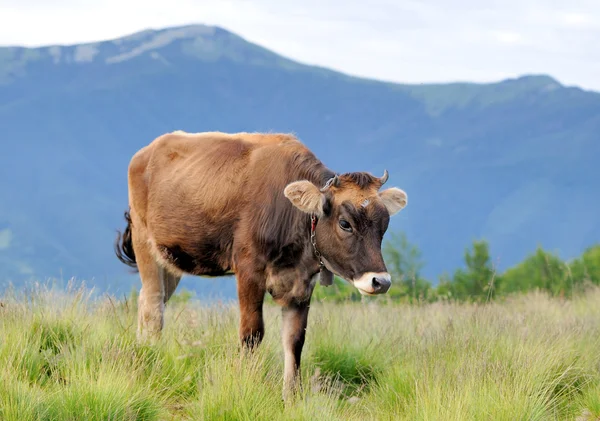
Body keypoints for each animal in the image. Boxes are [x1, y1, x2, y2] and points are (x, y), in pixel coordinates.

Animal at [113, 130, 408, 398]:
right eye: (345, 223)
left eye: (384, 224)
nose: (380, 282)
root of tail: (148, 150)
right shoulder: (248, 271)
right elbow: (252, 333)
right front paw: (246, 384)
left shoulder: (303, 284)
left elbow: (294, 339)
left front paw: (291, 397)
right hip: (144, 242)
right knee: (153, 307)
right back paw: (150, 357)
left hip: (171, 260)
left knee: (149, 300)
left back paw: (145, 350)